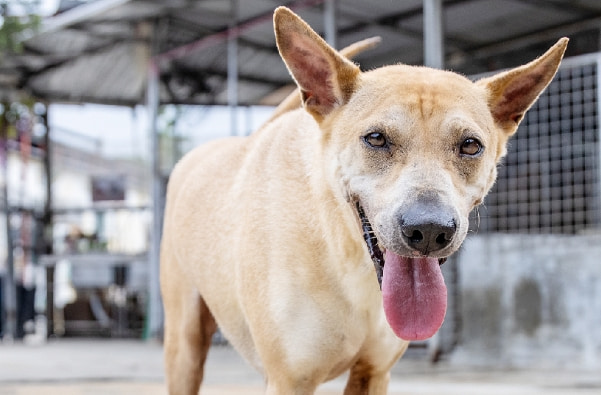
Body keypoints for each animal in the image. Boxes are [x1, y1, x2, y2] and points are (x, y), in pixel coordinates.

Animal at [161, 6, 568, 395]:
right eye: (376, 139)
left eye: (470, 145)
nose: (429, 230)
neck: (348, 258)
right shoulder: (291, 380)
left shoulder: (373, 372)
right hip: (184, 346)